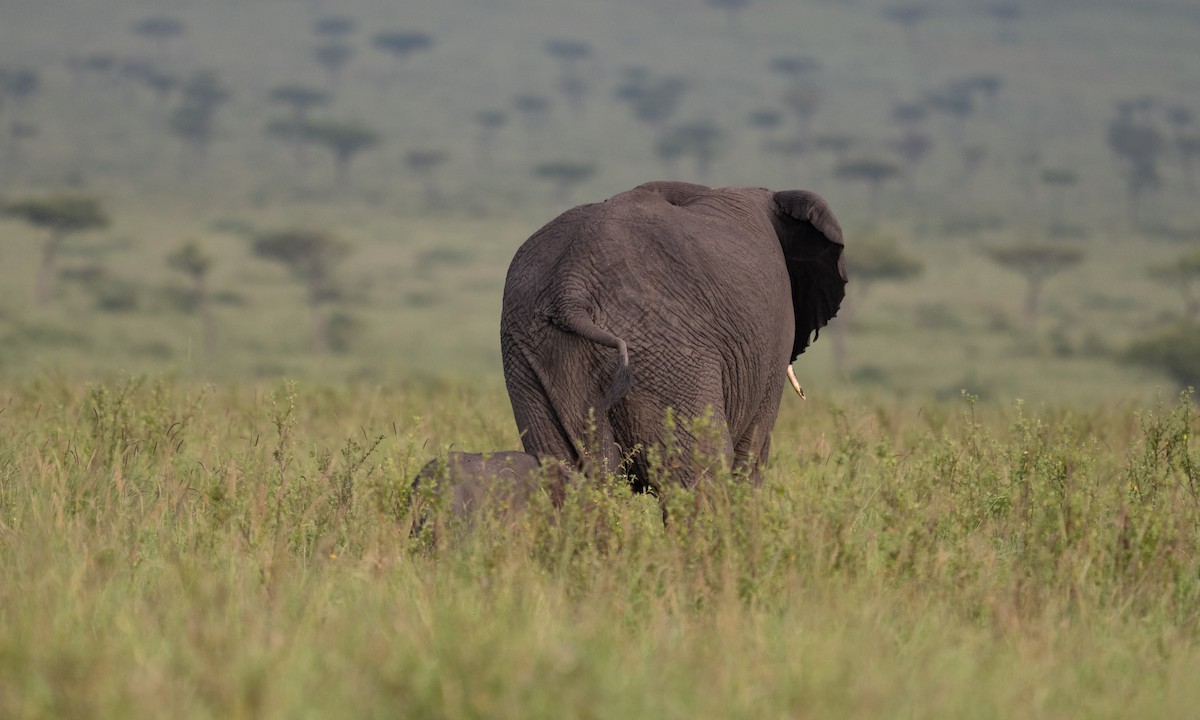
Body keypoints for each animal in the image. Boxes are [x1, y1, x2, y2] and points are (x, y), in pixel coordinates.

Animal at [500, 181, 846, 492]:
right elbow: (752, 453)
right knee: (698, 470)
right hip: (665, 353)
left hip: (530, 354)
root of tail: (571, 286)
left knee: (568, 471)